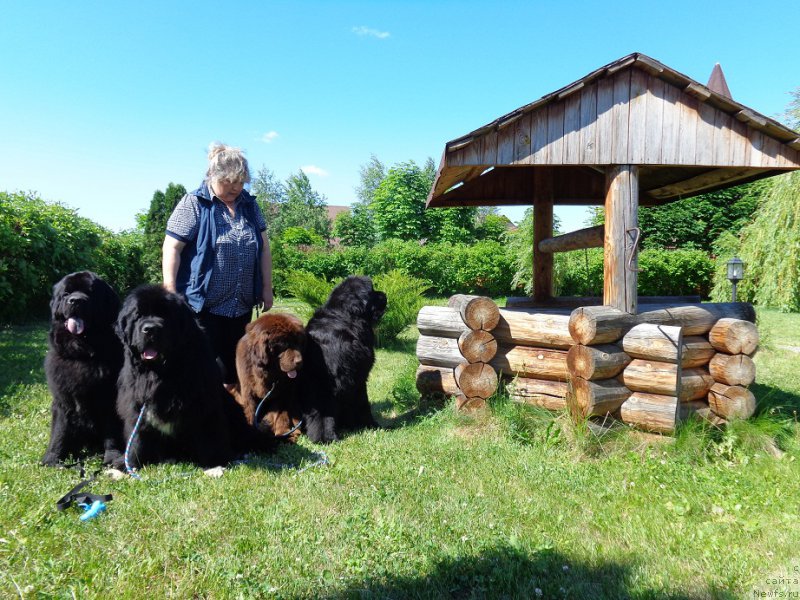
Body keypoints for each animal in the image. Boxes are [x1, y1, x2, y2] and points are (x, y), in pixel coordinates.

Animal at [41, 270, 123, 466]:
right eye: (66, 294)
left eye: (91, 293)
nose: (75, 300)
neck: (82, 354)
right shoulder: (62, 400)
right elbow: (59, 430)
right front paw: (53, 458)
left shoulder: (109, 400)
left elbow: (112, 432)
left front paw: (113, 456)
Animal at [115, 286, 272, 468]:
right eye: (138, 316)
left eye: (165, 315)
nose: (149, 329)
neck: (162, 372)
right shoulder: (137, 406)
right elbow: (138, 439)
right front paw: (129, 464)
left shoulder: (203, 404)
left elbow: (209, 435)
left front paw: (215, 463)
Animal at [300, 276, 388, 440]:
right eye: (372, 291)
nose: (384, 294)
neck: (346, 319)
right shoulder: (330, 381)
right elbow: (325, 412)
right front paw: (326, 436)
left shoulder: (358, 376)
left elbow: (362, 402)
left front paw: (370, 425)